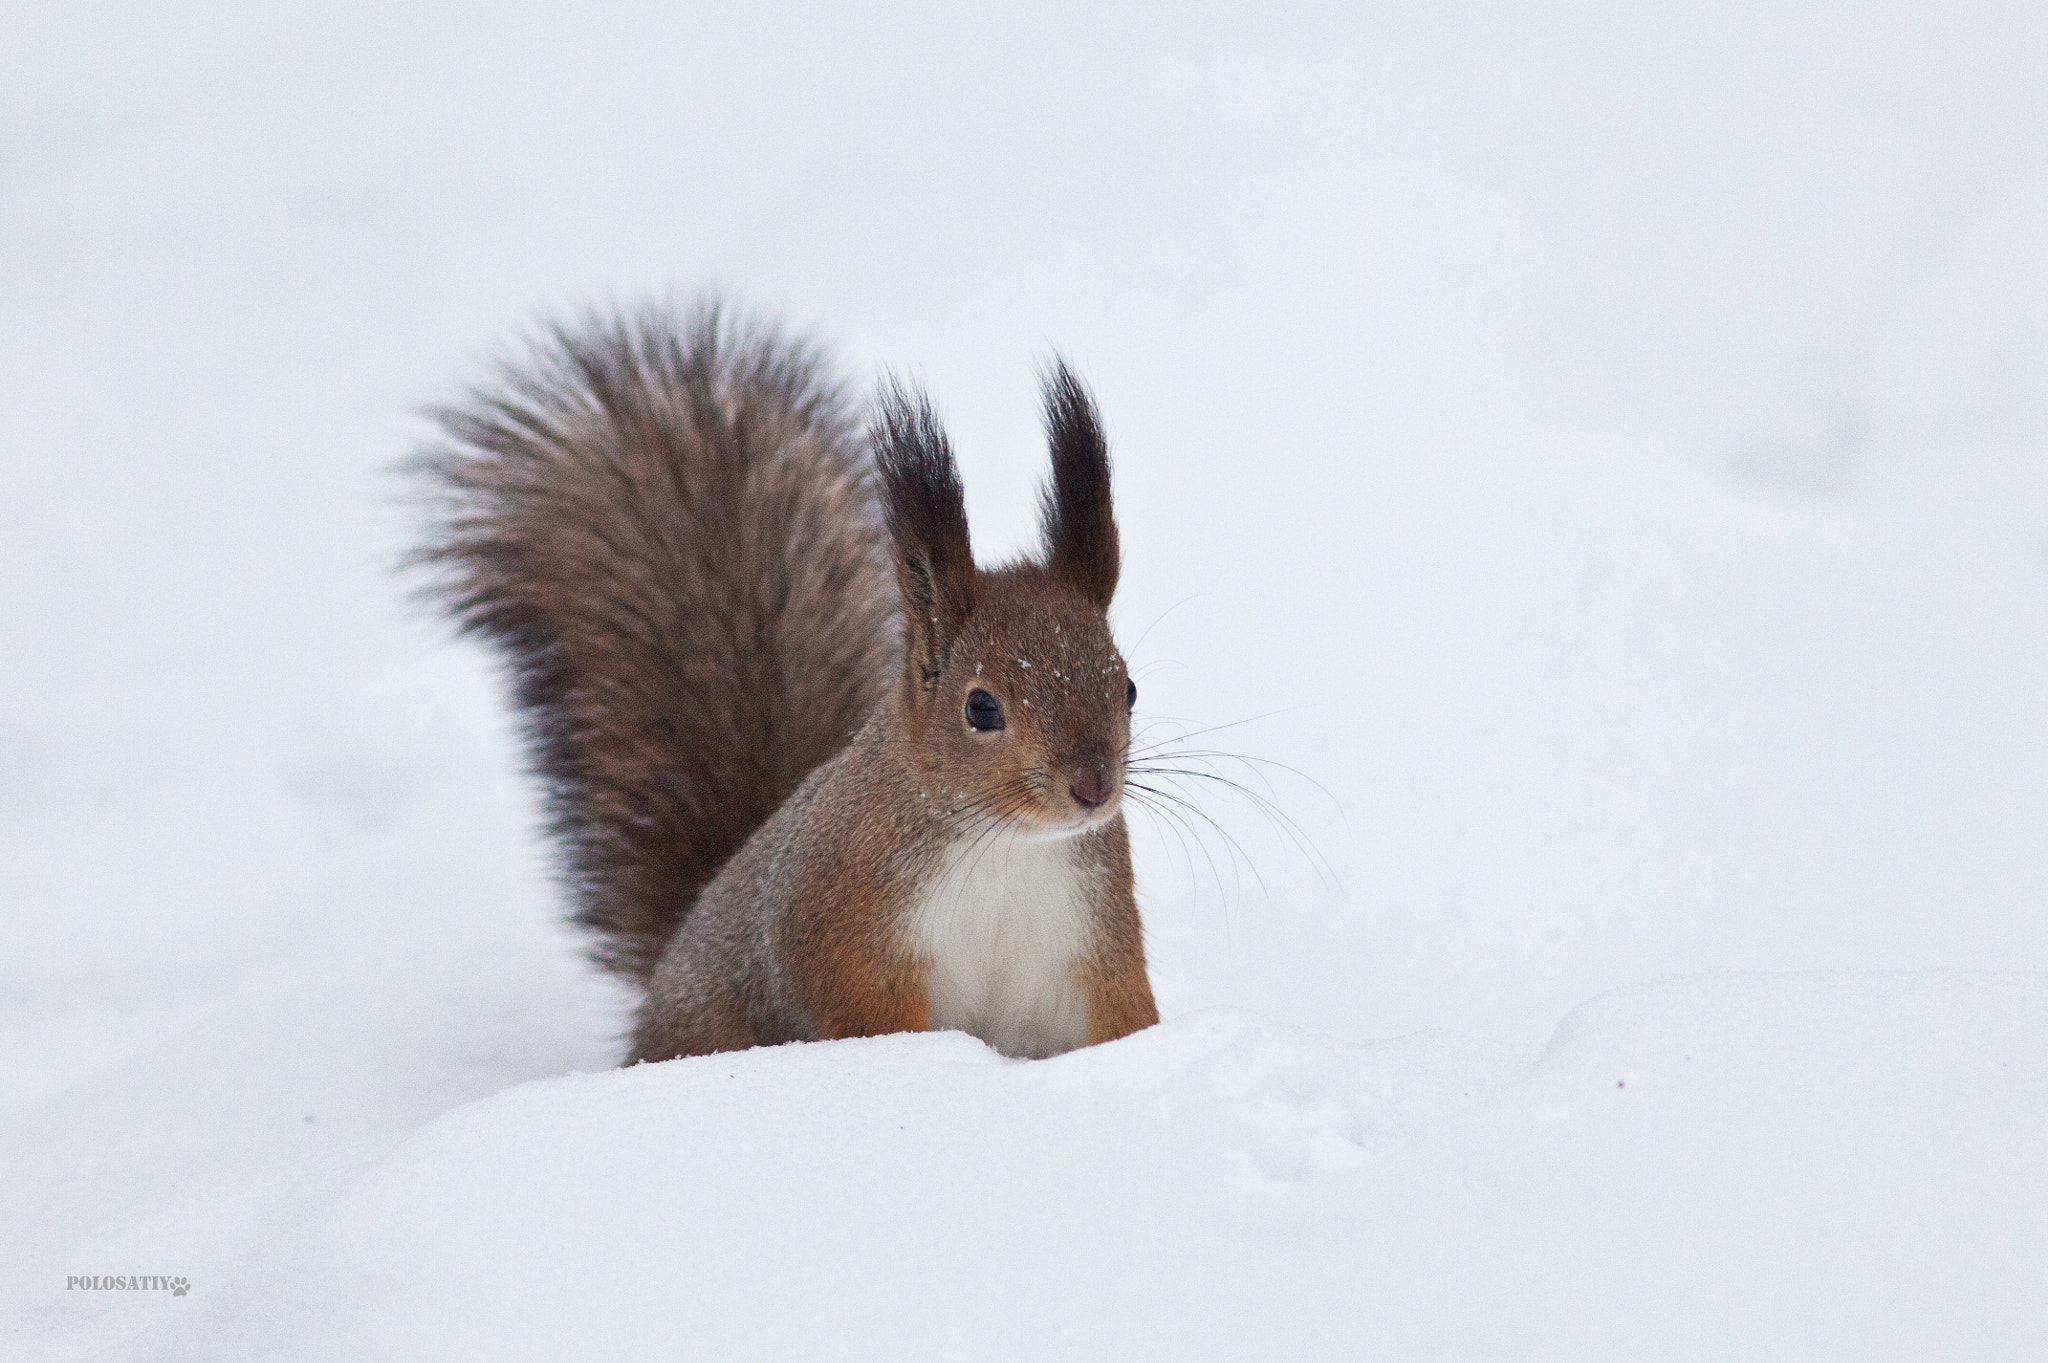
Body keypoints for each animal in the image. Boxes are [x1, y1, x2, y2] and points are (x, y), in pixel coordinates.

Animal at [411, 300, 1158, 1062]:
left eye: (1128, 688)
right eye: (981, 708)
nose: (1092, 786)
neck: (1007, 845)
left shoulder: (1093, 942)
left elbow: (1123, 1018)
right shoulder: (843, 925)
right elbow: (870, 1015)